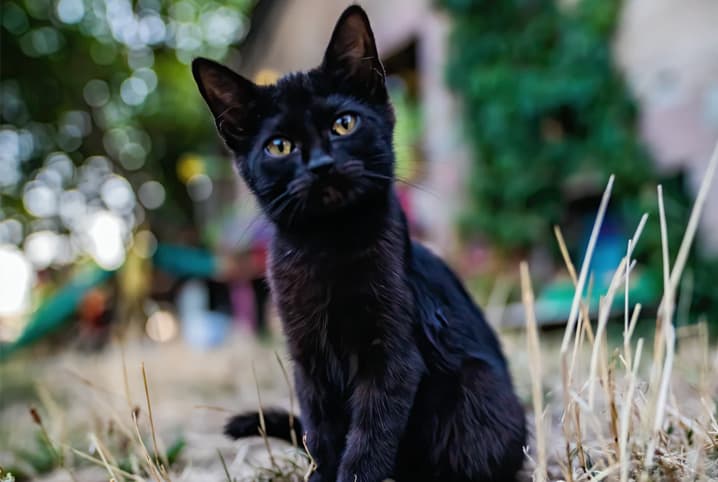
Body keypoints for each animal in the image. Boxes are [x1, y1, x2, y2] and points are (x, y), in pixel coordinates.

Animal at [194, 4, 524, 482]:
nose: (321, 165)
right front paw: (320, 475)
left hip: (480, 388)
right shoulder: (309, 364)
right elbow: (321, 435)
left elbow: (369, 438)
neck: (328, 246)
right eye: (279, 146)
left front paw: (355, 474)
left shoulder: (393, 357)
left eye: (344, 124)